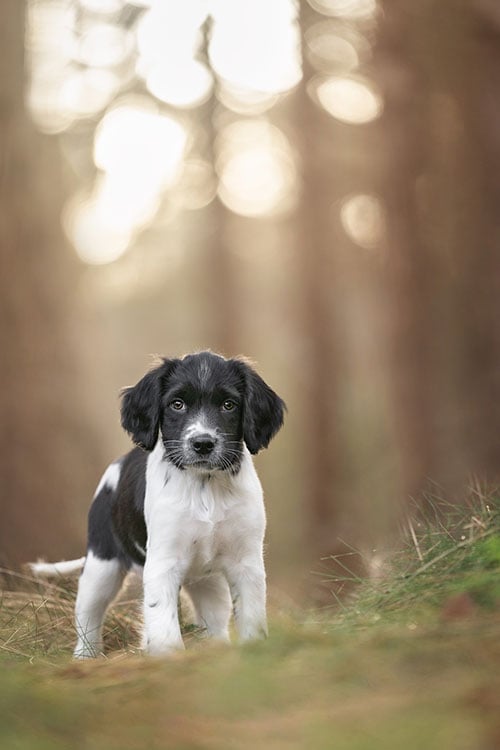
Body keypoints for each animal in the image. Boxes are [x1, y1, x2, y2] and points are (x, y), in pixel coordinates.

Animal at [30, 352, 286, 656]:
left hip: (206, 580)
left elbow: (251, 617)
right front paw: (169, 658)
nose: (203, 443)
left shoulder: (246, 561)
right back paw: (85, 657)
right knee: (89, 618)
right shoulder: (163, 562)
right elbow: (163, 624)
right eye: (177, 404)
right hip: (100, 567)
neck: (204, 487)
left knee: (213, 617)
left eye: (228, 405)